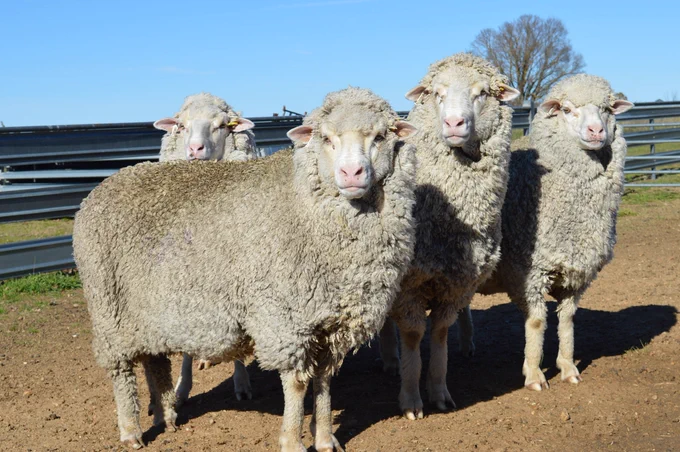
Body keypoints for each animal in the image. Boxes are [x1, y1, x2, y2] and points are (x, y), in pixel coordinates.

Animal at [73, 87, 418, 451]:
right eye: (326, 138)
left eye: (380, 136)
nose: (352, 174)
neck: (303, 204)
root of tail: (102, 187)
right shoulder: (284, 320)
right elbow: (297, 383)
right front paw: (291, 440)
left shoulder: (332, 323)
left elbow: (324, 381)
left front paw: (325, 439)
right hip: (109, 308)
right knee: (121, 370)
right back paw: (130, 430)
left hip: (147, 314)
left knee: (154, 362)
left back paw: (165, 418)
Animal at [378, 53, 520, 420]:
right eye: (438, 94)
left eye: (482, 92)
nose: (454, 123)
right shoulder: (408, 286)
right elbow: (414, 336)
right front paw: (411, 398)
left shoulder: (457, 282)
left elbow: (440, 333)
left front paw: (439, 392)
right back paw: (390, 360)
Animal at [475, 74, 634, 391]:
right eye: (567, 109)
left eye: (607, 109)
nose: (596, 130)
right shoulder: (529, 271)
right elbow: (536, 322)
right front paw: (534, 374)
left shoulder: (577, 272)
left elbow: (568, 321)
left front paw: (568, 366)